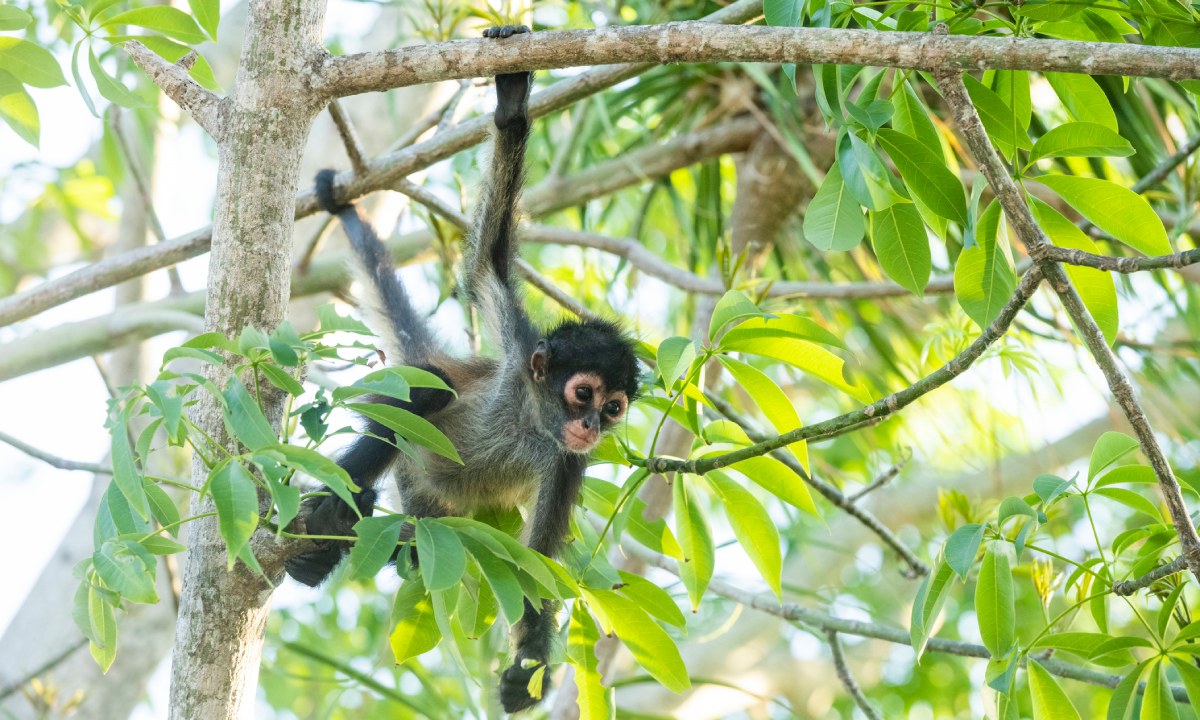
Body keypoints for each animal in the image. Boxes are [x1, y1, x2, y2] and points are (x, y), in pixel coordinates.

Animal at [285, 25, 642, 713]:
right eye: (583, 393)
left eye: (613, 409)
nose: (590, 427)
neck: (532, 420)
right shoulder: (522, 348)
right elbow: (488, 262)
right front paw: (511, 102)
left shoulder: (566, 463)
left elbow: (539, 561)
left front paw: (527, 672)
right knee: (430, 394)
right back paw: (330, 514)